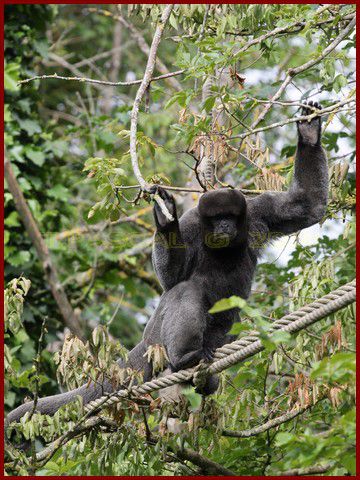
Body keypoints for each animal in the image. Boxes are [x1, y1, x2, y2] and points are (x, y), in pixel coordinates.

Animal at [5, 101, 328, 424]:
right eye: (216, 218)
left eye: (229, 216)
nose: (224, 226)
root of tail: (146, 342)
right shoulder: (192, 225)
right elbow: (171, 279)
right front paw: (164, 220)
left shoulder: (258, 213)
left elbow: (306, 205)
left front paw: (309, 133)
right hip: (158, 334)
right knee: (185, 291)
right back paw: (186, 358)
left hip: (220, 335)